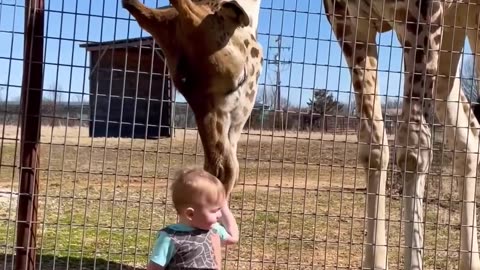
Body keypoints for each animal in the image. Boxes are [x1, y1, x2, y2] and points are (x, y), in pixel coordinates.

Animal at [322, 0, 480, 268]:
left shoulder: (423, 12)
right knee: (468, 136)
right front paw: (375, 261)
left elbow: (413, 148)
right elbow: (373, 146)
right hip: (453, 31)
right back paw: (470, 262)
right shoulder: (346, 18)